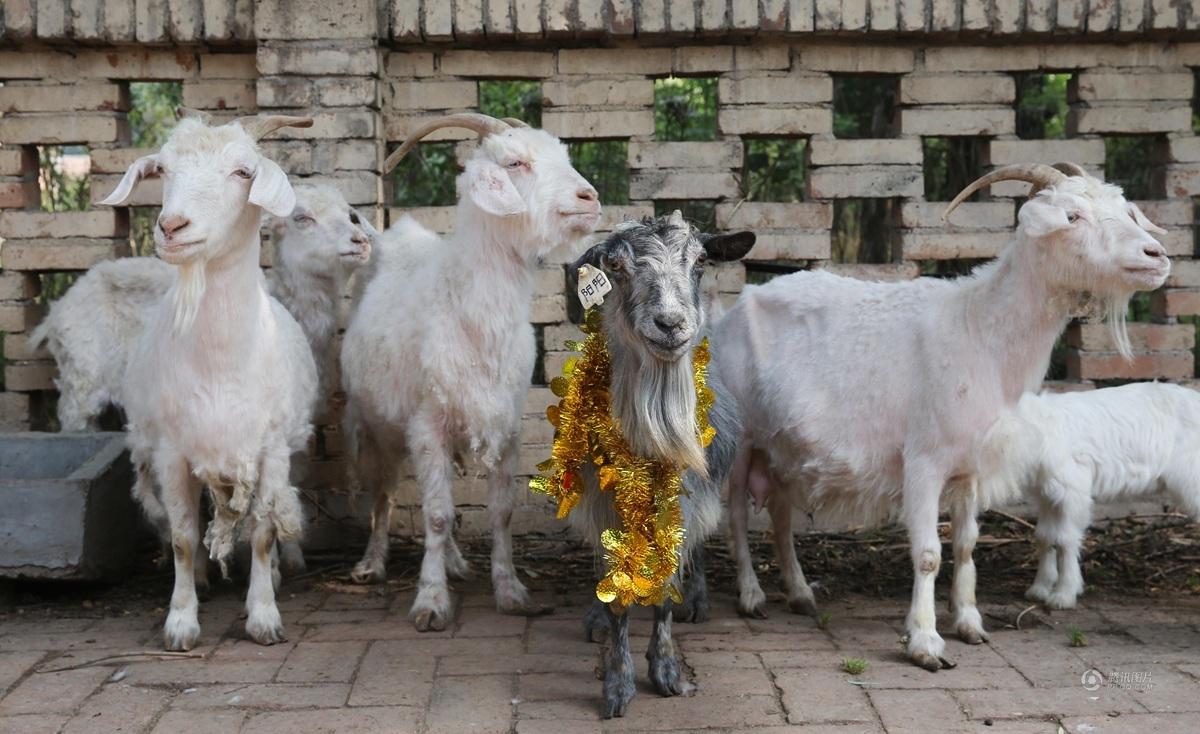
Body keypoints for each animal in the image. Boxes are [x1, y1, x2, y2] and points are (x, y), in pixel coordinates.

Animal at [98, 112, 318, 651]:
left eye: (243, 172)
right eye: (163, 170)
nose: (171, 226)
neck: (220, 364)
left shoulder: (270, 448)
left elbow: (262, 532)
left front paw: (263, 616)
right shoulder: (173, 451)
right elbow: (181, 536)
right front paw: (180, 621)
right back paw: (201, 575)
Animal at [341, 113, 601, 630]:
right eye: (515, 162)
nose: (590, 198)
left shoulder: (508, 422)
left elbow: (500, 512)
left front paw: (511, 590)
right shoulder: (427, 423)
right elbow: (437, 514)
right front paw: (430, 600)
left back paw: (456, 562)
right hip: (375, 426)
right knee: (384, 495)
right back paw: (373, 563)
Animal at [563, 212, 755, 717]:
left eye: (702, 260)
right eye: (615, 265)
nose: (670, 323)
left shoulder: (683, 499)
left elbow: (667, 580)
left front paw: (666, 671)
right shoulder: (605, 500)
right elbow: (616, 591)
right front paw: (617, 684)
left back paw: (698, 599)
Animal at [715, 163, 1171, 670]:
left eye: (1126, 210)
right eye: (1072, 215)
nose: (1155, 255)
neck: (978, 329)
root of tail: (732, 308)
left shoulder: (970, 466)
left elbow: (967, 544)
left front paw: (970, 623)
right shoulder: (923, 460)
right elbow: (929, 552)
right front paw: (926, 642)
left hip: (782, 444)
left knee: (778, 512)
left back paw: (799, 593)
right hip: (742, 437)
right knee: (737, 514)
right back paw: (751, 596)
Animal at [978, 382, 1200, 609]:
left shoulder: (1072, 489)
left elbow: (1066, 539)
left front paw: (1064, 594)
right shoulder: (1047, 496)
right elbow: (1044, 536)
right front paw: (1039, 589)